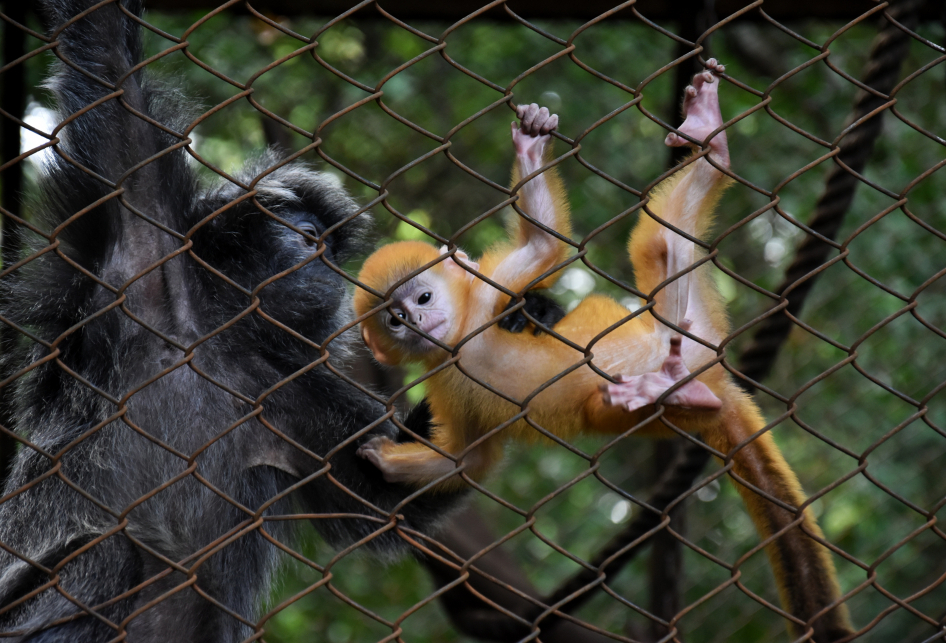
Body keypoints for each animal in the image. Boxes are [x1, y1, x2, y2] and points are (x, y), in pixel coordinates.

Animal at [0, 2, 490, 640]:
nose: (323, 258)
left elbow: (387, 496)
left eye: (328, 247)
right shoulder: (138, 254)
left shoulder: (287, 390)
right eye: (302, 234)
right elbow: (106, 58)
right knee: (109, 553)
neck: (216, 336)